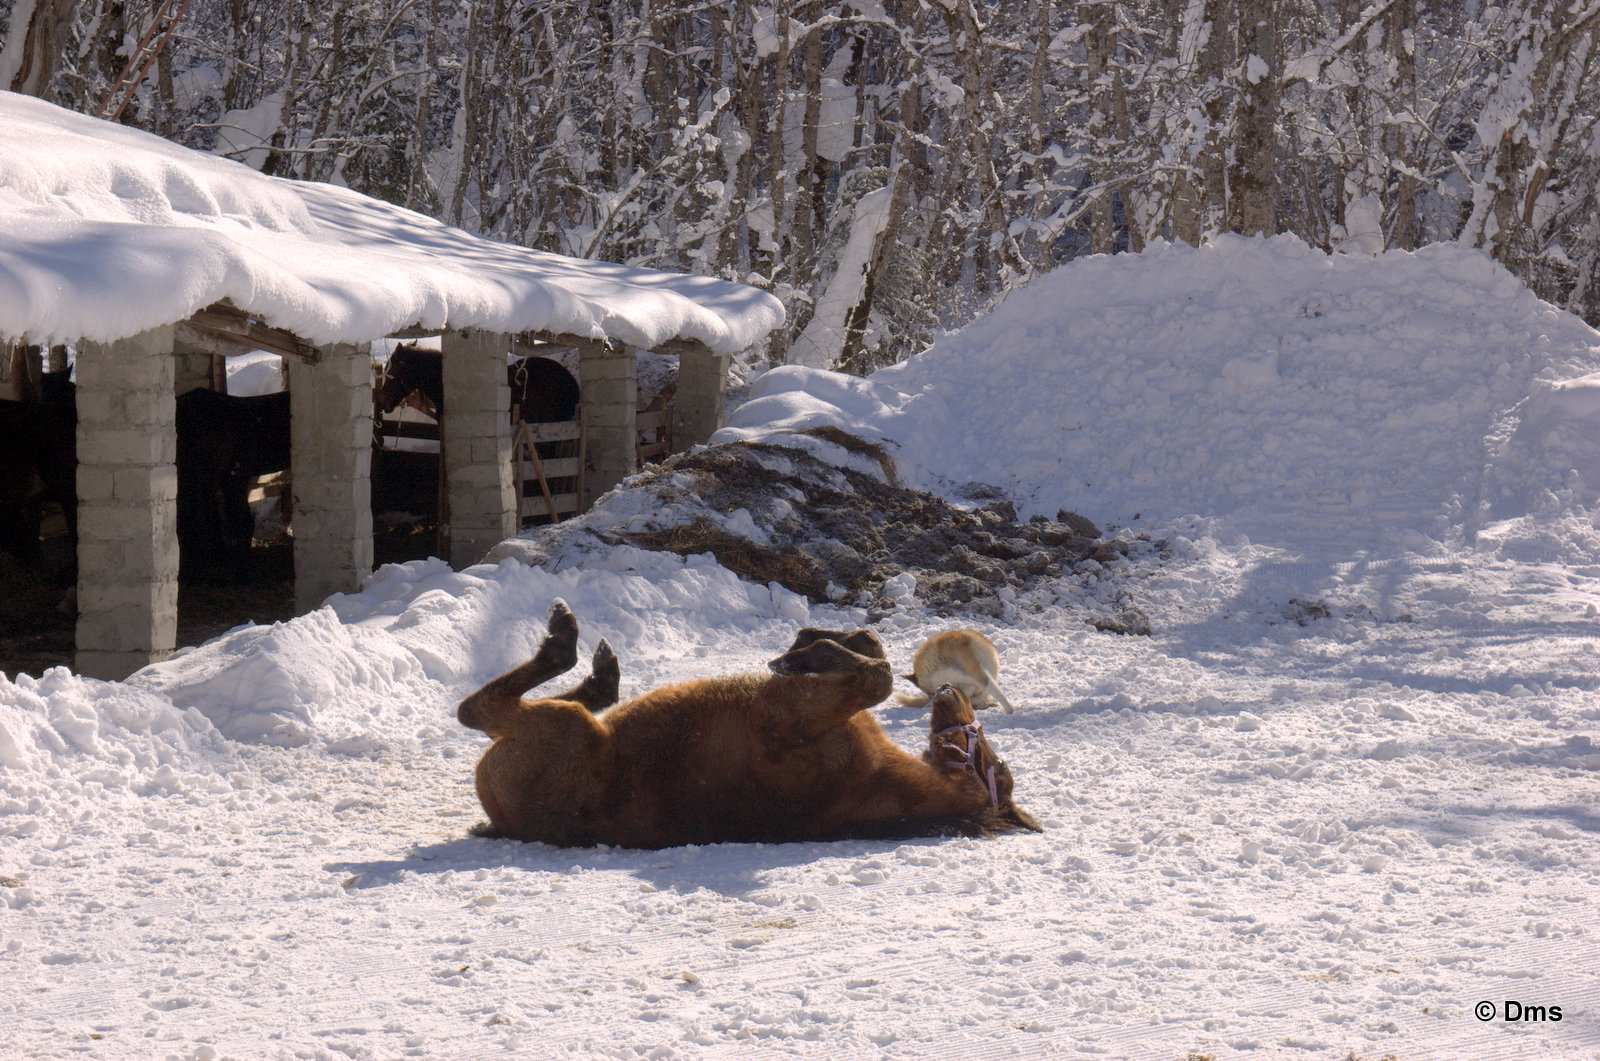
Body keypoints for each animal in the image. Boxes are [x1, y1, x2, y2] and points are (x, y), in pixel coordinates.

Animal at [455, 601, 1040, 848]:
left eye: (990, 758)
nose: (948, 693)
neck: (877, 786)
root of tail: (506, 823)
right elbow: (873, 651)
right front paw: (814, 641)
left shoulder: (793, 713)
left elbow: (876, 676)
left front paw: (807, 653)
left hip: (561, 729)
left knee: (479, 708)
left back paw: (569, 640)